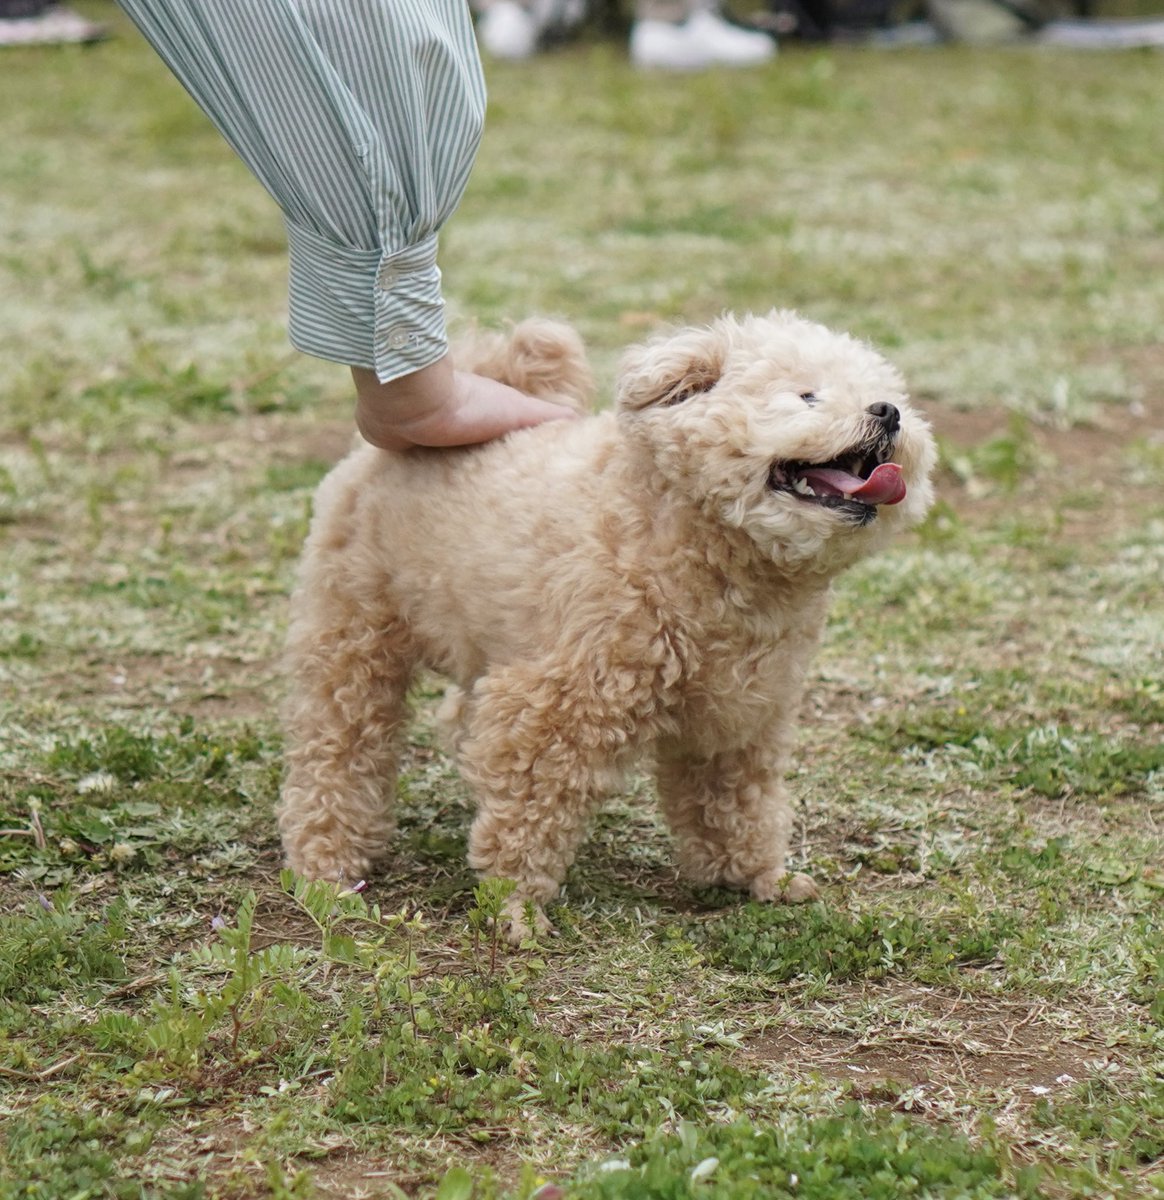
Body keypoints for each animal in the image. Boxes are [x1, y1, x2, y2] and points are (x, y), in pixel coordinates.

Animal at [279, 309, 936, 936]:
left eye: (883, 392)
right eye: (806, 396)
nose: (888, 412)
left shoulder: (739, 718)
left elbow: (735, 804)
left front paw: (755, 877)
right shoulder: (552, 707)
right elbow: (530, 810)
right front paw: (514, 904)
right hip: (355, 633)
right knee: (338, 749)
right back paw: (326, 863)